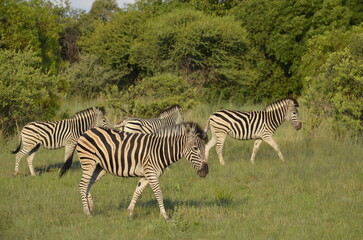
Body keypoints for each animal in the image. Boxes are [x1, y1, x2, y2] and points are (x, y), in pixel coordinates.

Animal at [59, 122, 208, 219]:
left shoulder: (146, 175)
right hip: (88, 162)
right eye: (195, 148)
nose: (205, 171)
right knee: (83, 185)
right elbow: (159, 194)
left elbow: (138, 191)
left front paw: (130, 213)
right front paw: (165, 216)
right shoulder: (151, 173)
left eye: (204, 147)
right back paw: (87, 212)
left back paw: (90, 207)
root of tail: (86, 132)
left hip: (99, 167)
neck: (160, 150)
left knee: (88, 185)